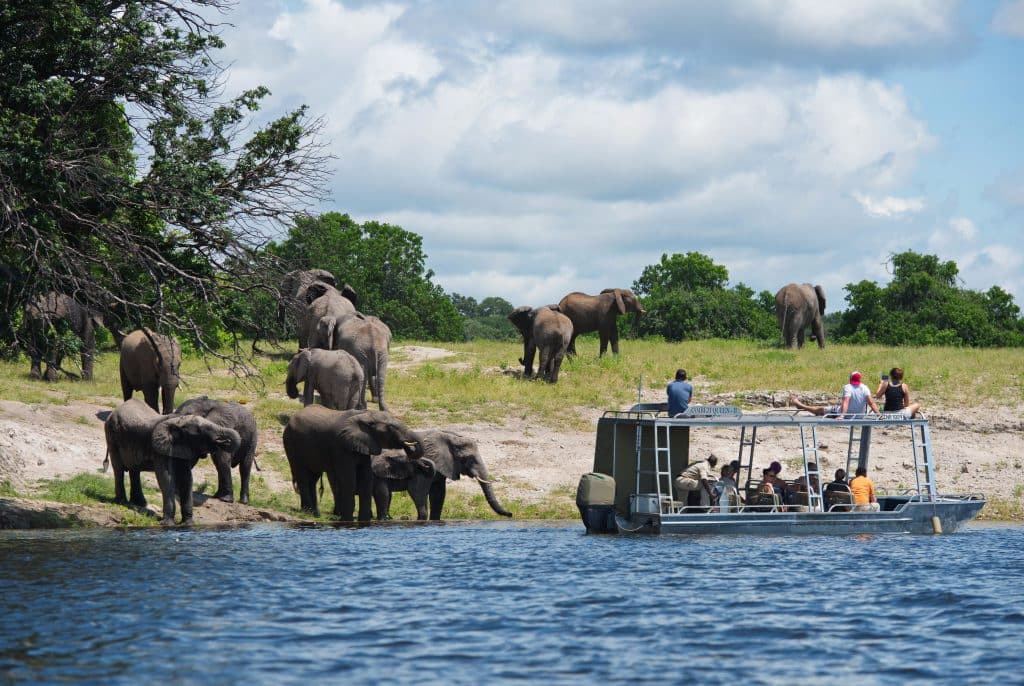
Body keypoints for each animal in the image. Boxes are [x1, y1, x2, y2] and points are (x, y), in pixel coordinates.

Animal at [103, 398, 241, 525]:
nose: (225, 440)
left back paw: (140, 503)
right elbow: (167, 479)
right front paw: (168, 524)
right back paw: (122, 502)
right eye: (201, 430)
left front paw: (188, 525)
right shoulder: (161, 449)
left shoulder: (182, 449)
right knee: (119, 469)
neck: (178, 421)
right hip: (111, 435)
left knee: (134, 470)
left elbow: (186, 479)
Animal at [282, 406, 422, 520]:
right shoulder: (341, 446)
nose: (409, 446)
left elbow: (366, 476)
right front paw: (347, 520)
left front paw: (364, 521)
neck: (365, 415)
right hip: (291, 443)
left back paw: (315, 514)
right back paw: (308, 512)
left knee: (312, 478)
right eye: (391, 428)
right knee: (302, 476)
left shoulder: (364, 444)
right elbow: (349, 478)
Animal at [372, 430, 513, 521]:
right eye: (468, 459)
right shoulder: (423, 466)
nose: (510, 514)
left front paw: (435, 521)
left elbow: (438, 494)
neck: (449, 437)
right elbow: (417, 491)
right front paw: (422, 521)